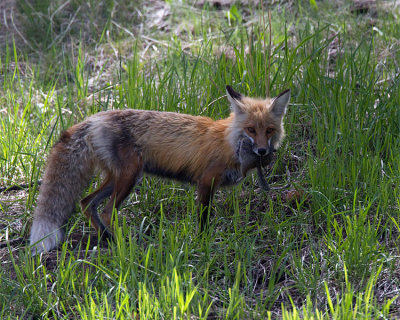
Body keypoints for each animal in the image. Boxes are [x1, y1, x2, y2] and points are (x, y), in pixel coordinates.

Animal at [28, 85, 290, 255]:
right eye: (251, 130)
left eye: (269, 130)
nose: (262, 152)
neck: (229, 142)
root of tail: (94, 118)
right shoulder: (205, 181)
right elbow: (204, 219)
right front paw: (203, 243)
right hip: (130, 177)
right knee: (107, 211)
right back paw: (125, 244)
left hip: (118, 178)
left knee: (86, 203)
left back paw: (107, 239)